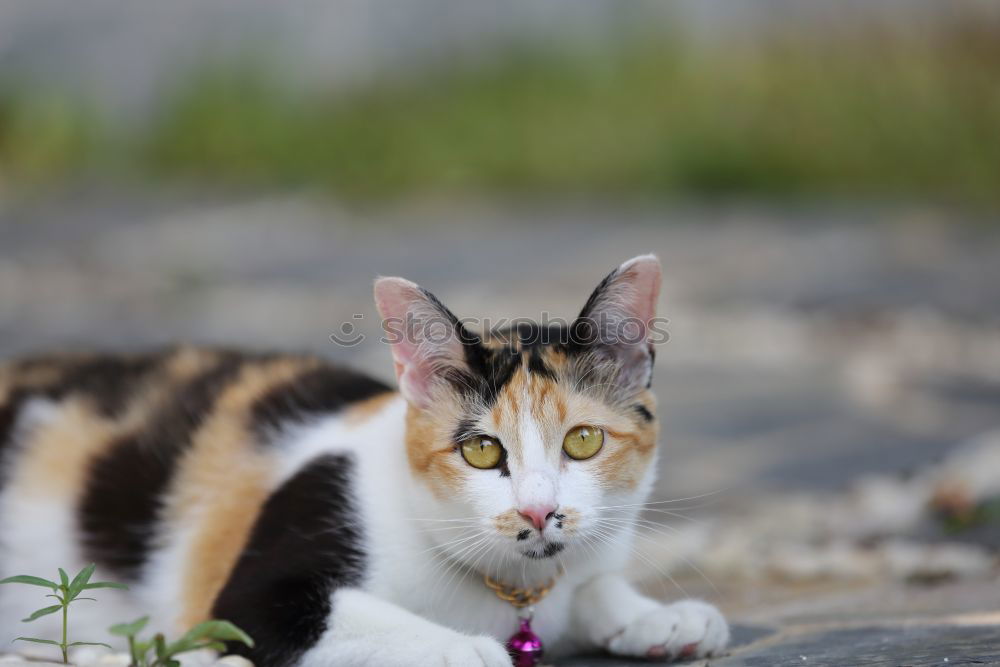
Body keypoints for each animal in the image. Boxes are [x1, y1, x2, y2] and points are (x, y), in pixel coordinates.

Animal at [0, 253, 728, 664]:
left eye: (583, 441)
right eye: (481, 449)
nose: (537, 511)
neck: (512, 592)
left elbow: (594, 583)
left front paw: (658, 615)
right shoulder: (254, 594)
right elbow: (355, 615)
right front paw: (461, 648)